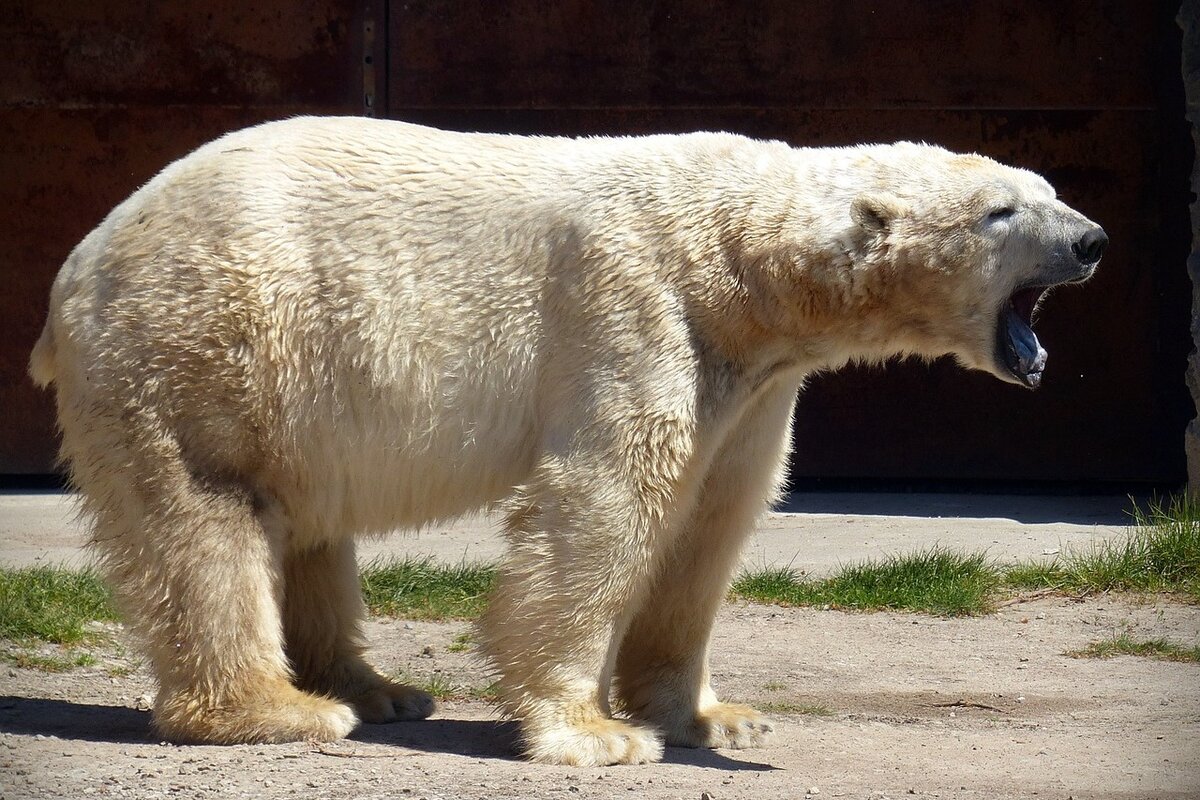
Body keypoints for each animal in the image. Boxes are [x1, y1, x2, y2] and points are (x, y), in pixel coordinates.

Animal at [25, 117, 1104, 762]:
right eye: (1001, 210)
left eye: (1042, 185)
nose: (1091, 239)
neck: (738, 258)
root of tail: (79, 261)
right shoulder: (632, 308)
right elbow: (607, 501)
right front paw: (594, 732)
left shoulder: (753, 381)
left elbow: (712, 522)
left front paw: (715, 714)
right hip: (207, 343)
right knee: (209, 515)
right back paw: (279, 708)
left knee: (308, 525)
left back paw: (380, 688)